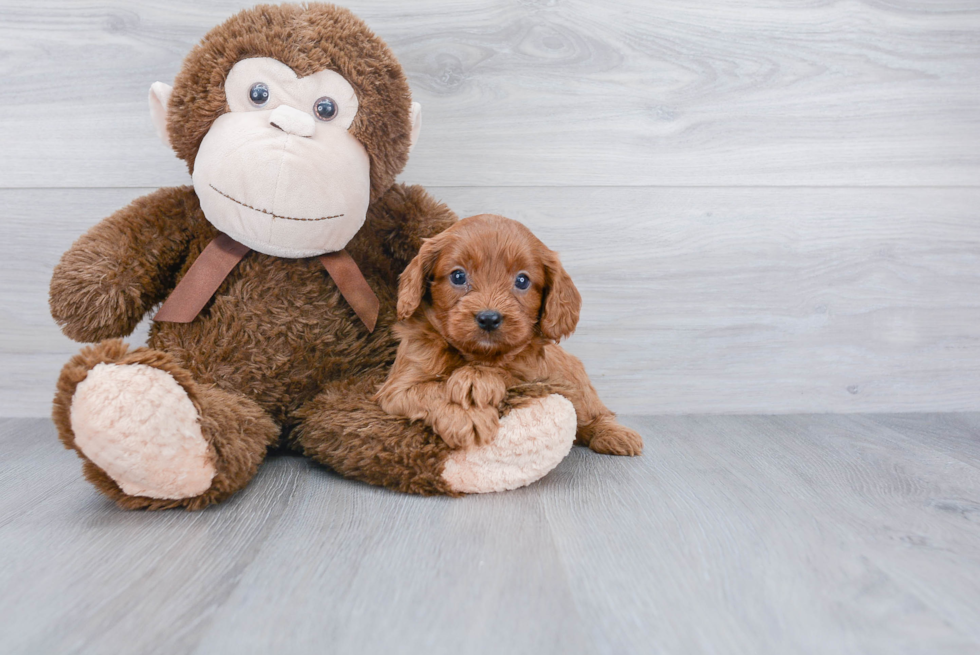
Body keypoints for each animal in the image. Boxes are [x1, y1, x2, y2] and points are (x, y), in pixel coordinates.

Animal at [376, 214, 644, 456]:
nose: (488, 318)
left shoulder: (536, 376)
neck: (474, 355)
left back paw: (615, 435)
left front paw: (476, 378)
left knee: (594, 414)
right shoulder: (399, 386)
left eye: (522, 280)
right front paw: (467, 414)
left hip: (575, 381)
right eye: (458, 276)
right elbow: (432, 389)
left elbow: (507, 372)